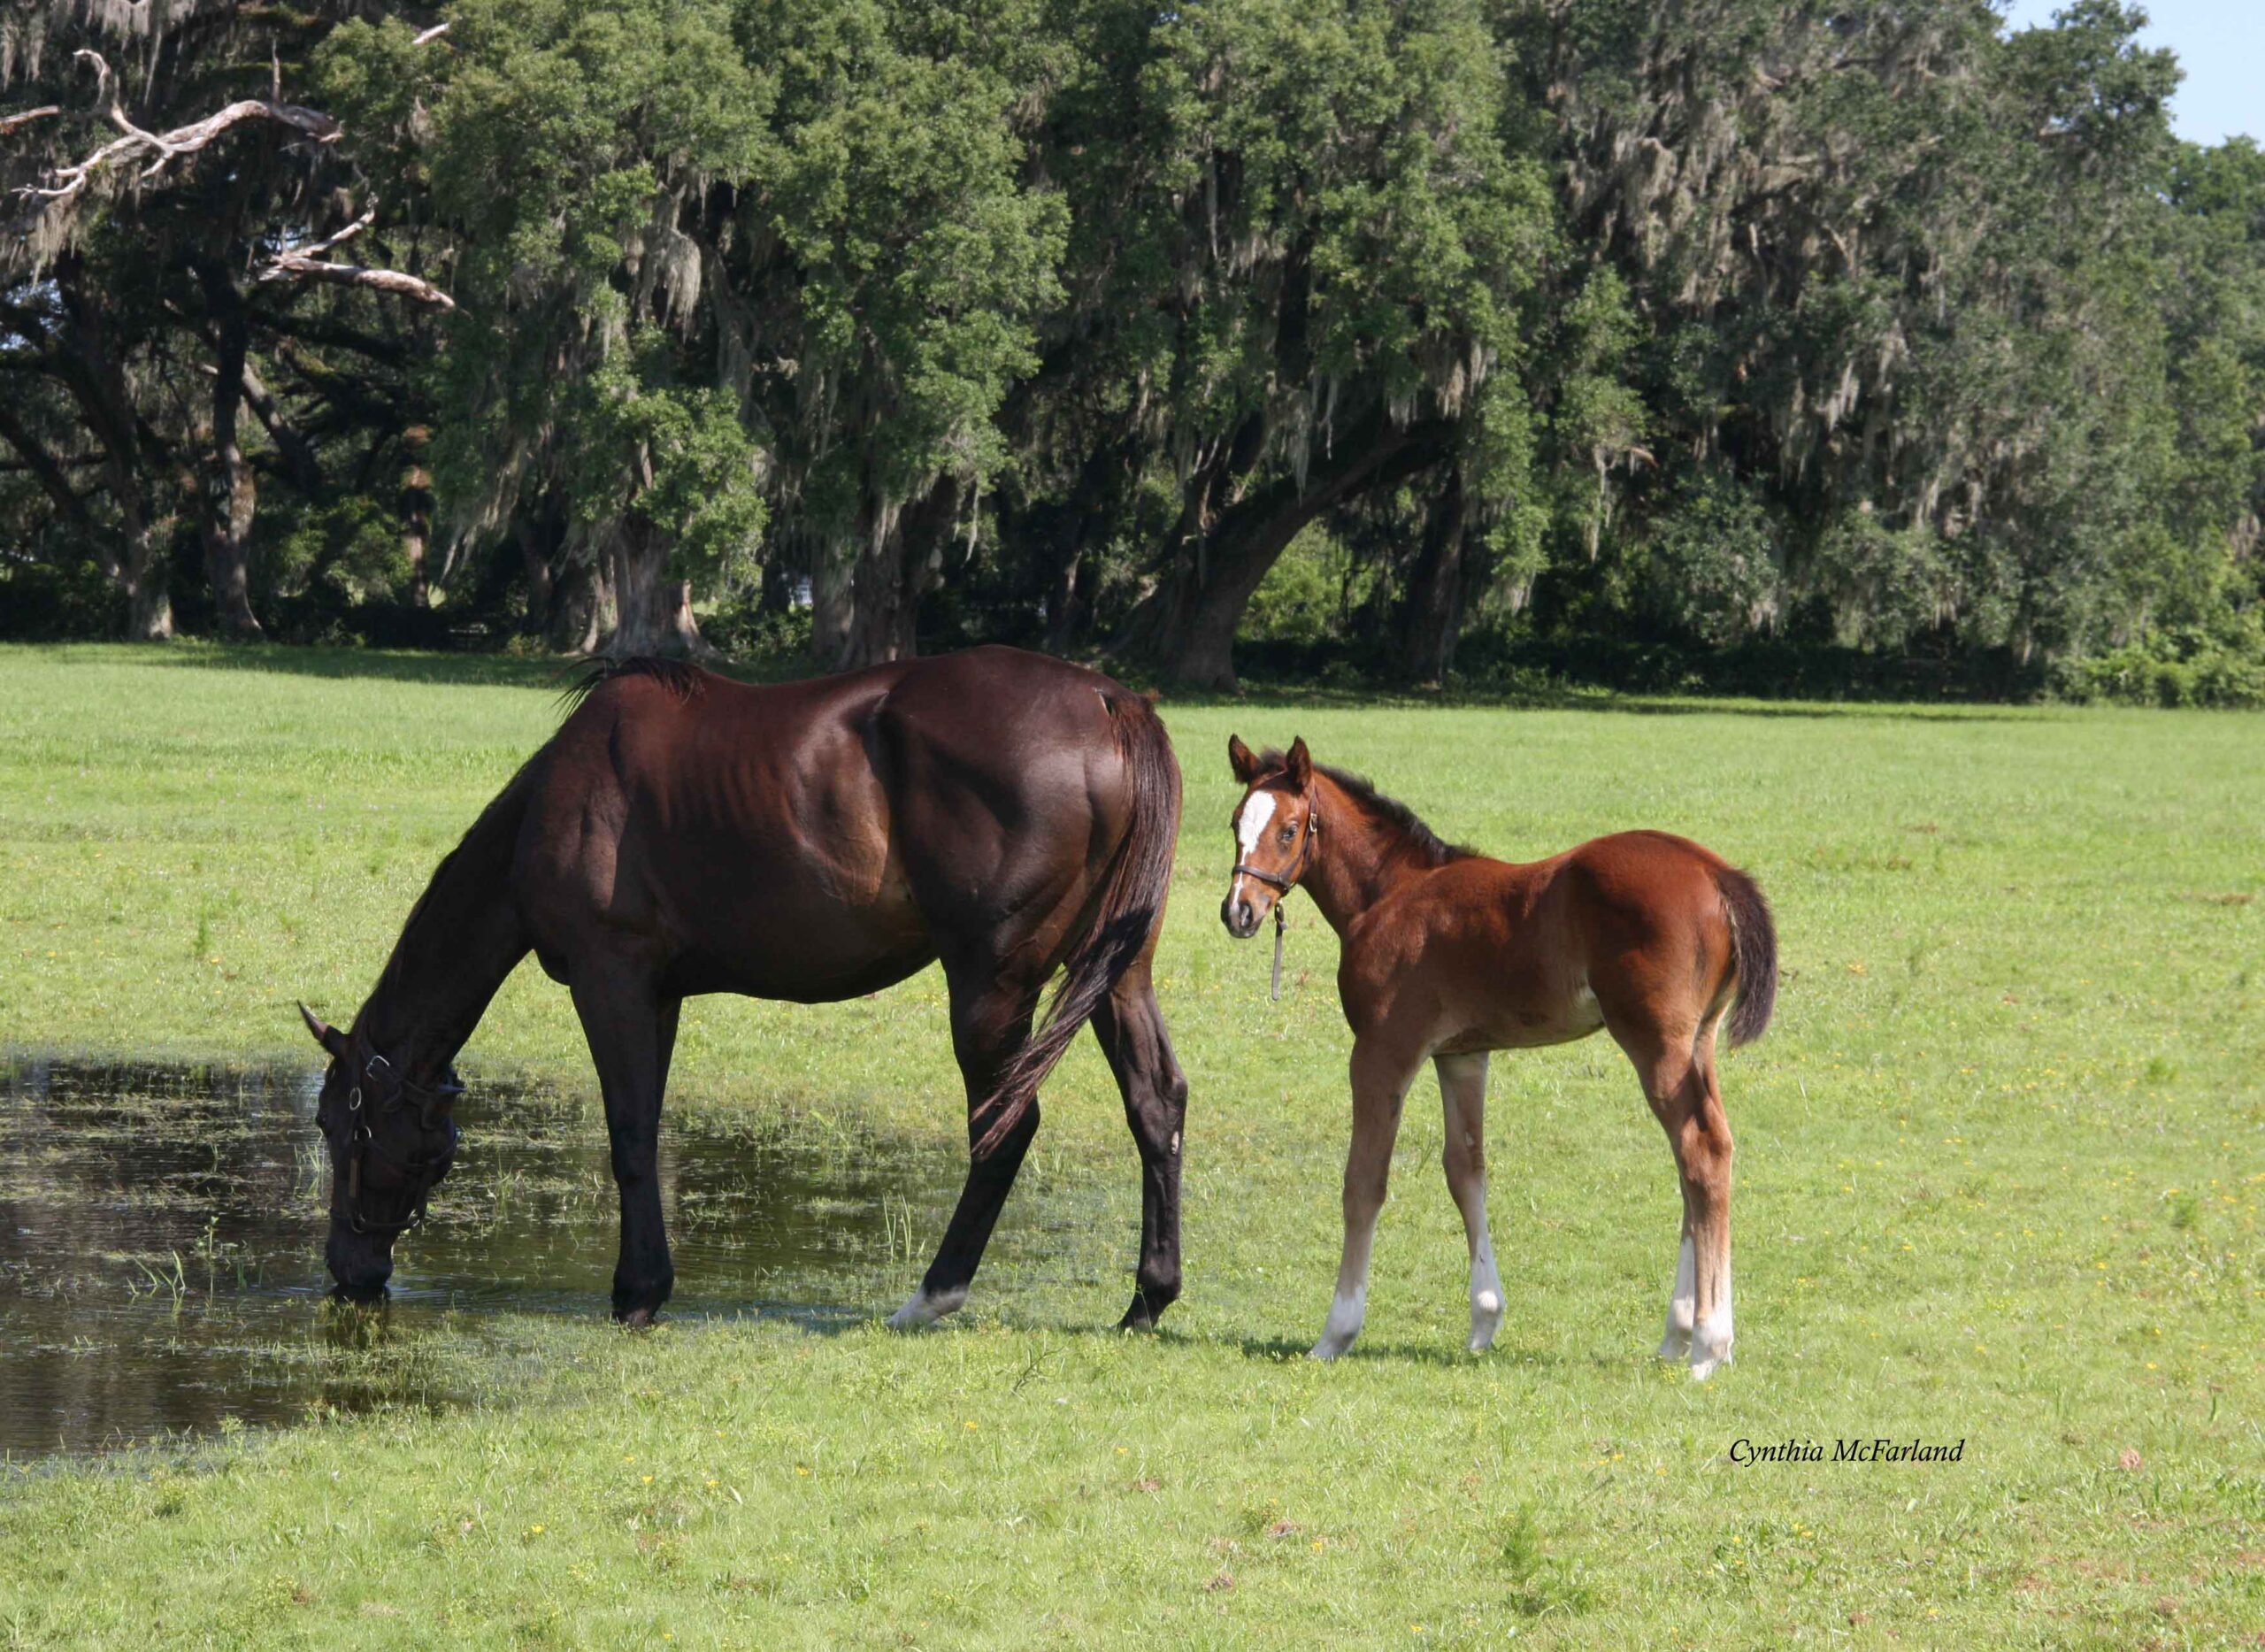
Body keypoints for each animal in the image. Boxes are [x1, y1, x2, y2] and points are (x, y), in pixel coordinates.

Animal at [292, 643, 1195, 1323]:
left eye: (339, 1124)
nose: (351, 1271)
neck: (563, 796)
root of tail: (1113, 702)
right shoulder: (658, 994)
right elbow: (647, 1128)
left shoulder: (611, 980)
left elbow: (629, 1135)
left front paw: (637, 1291)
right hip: (1116, 973)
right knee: (1156, 1104)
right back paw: (1146, 1300)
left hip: (991, 986)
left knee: (1005, 1126)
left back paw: (934, 1293)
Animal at [1223, 738, 1766, 1378]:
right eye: (1235, 823)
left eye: (1288, 829)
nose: (1239, 911)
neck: (1390, 893)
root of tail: (1716, 872)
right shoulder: (1462, 1054)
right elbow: (1466, 1170)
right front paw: (1484, 1319)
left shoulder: (1383, 1049)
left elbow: (1364, 1182)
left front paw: (1336, 1333)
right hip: (1697, 1042)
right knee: (1701, 1159)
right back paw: (1679, 1334)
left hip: (1657, 1042)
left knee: (1700, 1150)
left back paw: (1708, 1343)